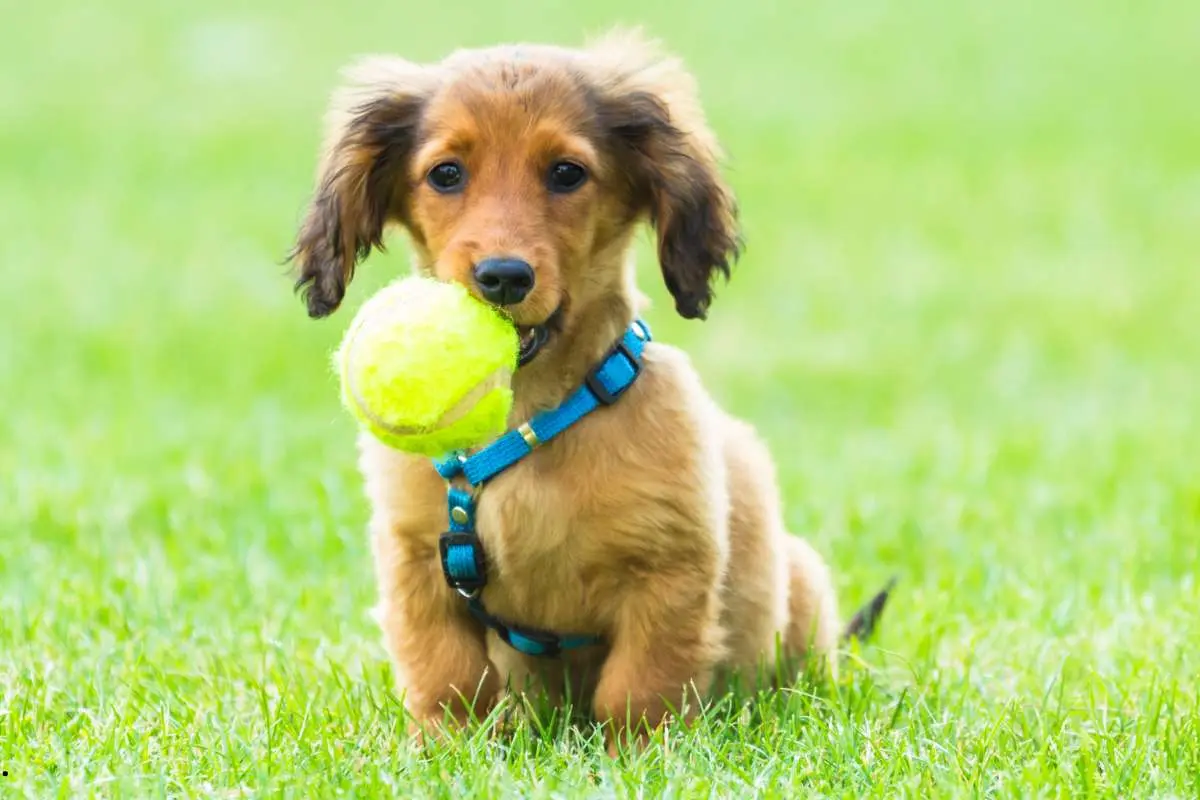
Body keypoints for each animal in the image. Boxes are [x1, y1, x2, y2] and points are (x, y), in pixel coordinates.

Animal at [286, 28, 859, 748]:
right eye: (446, 173)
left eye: (566, 173)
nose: (503, 277)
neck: (528, 421)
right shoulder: (415, 557)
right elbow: (445, 671)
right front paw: (445, 748)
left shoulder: (670, 567)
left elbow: (640, 684)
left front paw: (640, 754)